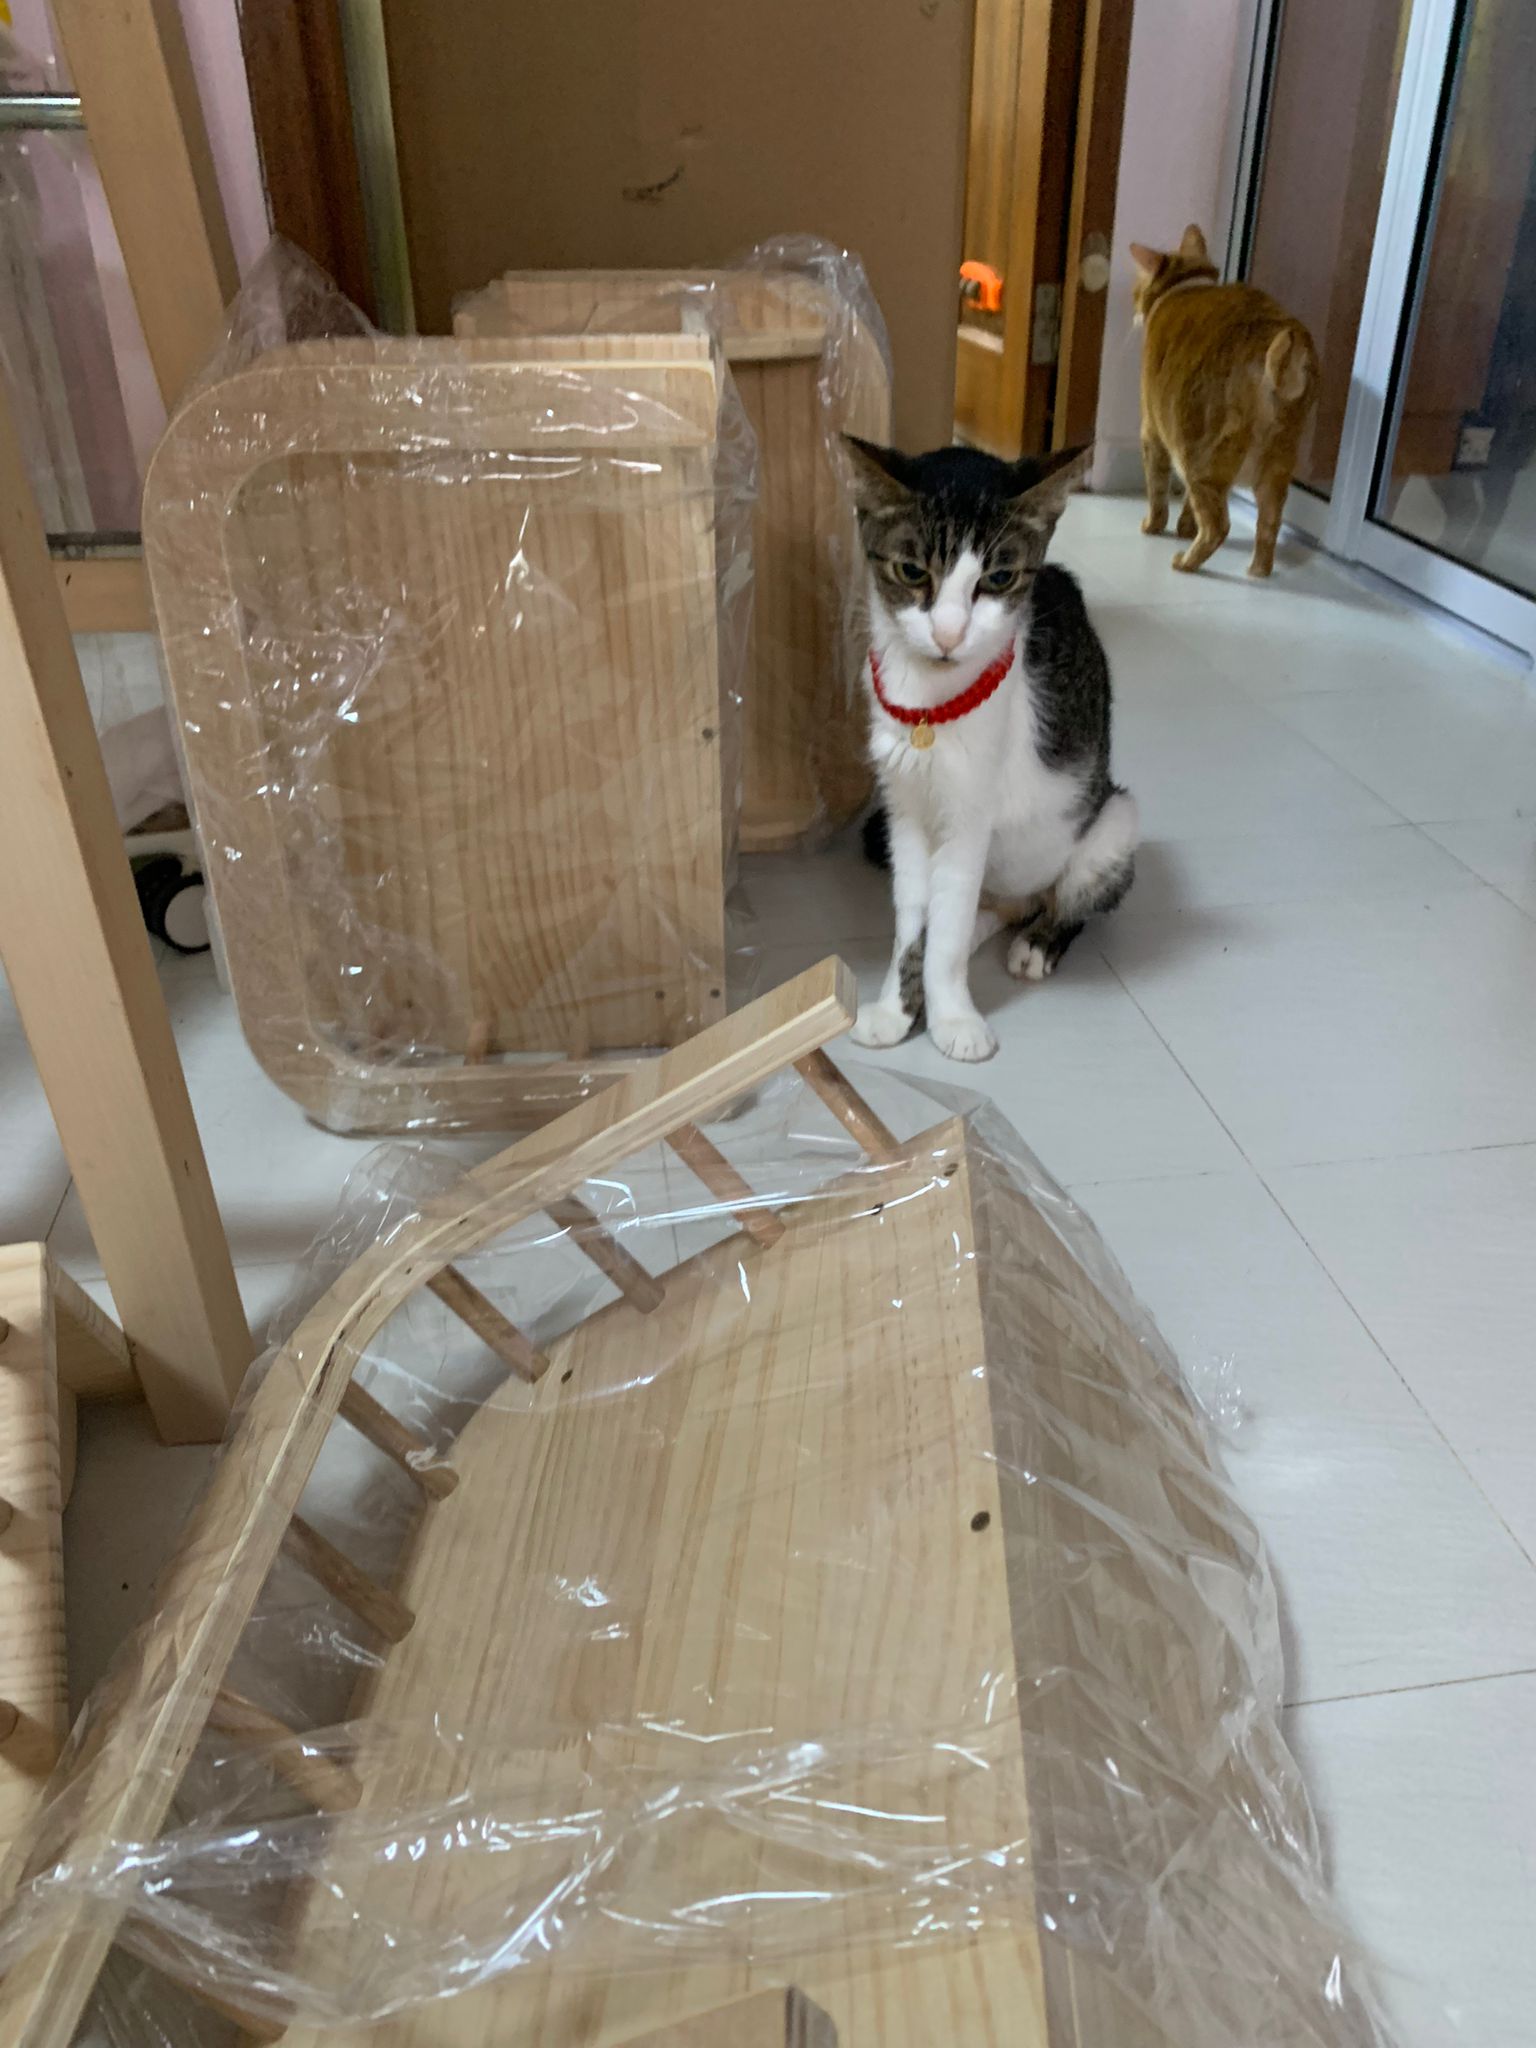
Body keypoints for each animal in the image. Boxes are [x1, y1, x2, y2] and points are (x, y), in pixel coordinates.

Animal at [843, 437, 1137, 1063]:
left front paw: (953, 1017)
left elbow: (946, 928)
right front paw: (898, 1007)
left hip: (1115, 821)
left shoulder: (970, 815)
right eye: (911, 571)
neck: (927, 703)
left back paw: (1039, 942)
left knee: (1062, 902)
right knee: (987, 907)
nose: (949, 634)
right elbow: (915, 918)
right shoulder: (904, 811)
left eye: (999, 578)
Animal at [1131, 223, 1319, 578]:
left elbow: (1157, 490)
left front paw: (1155, 526)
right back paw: (1257, 570)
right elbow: (1188, 507)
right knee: (1268, 524)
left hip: (1198, 454)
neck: (1183, 288)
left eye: (1136, 291)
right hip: (1277, 464)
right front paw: (1185, 528)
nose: (1133, 310)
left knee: (1218, 525)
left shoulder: (1152, 431)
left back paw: (1185, 562)